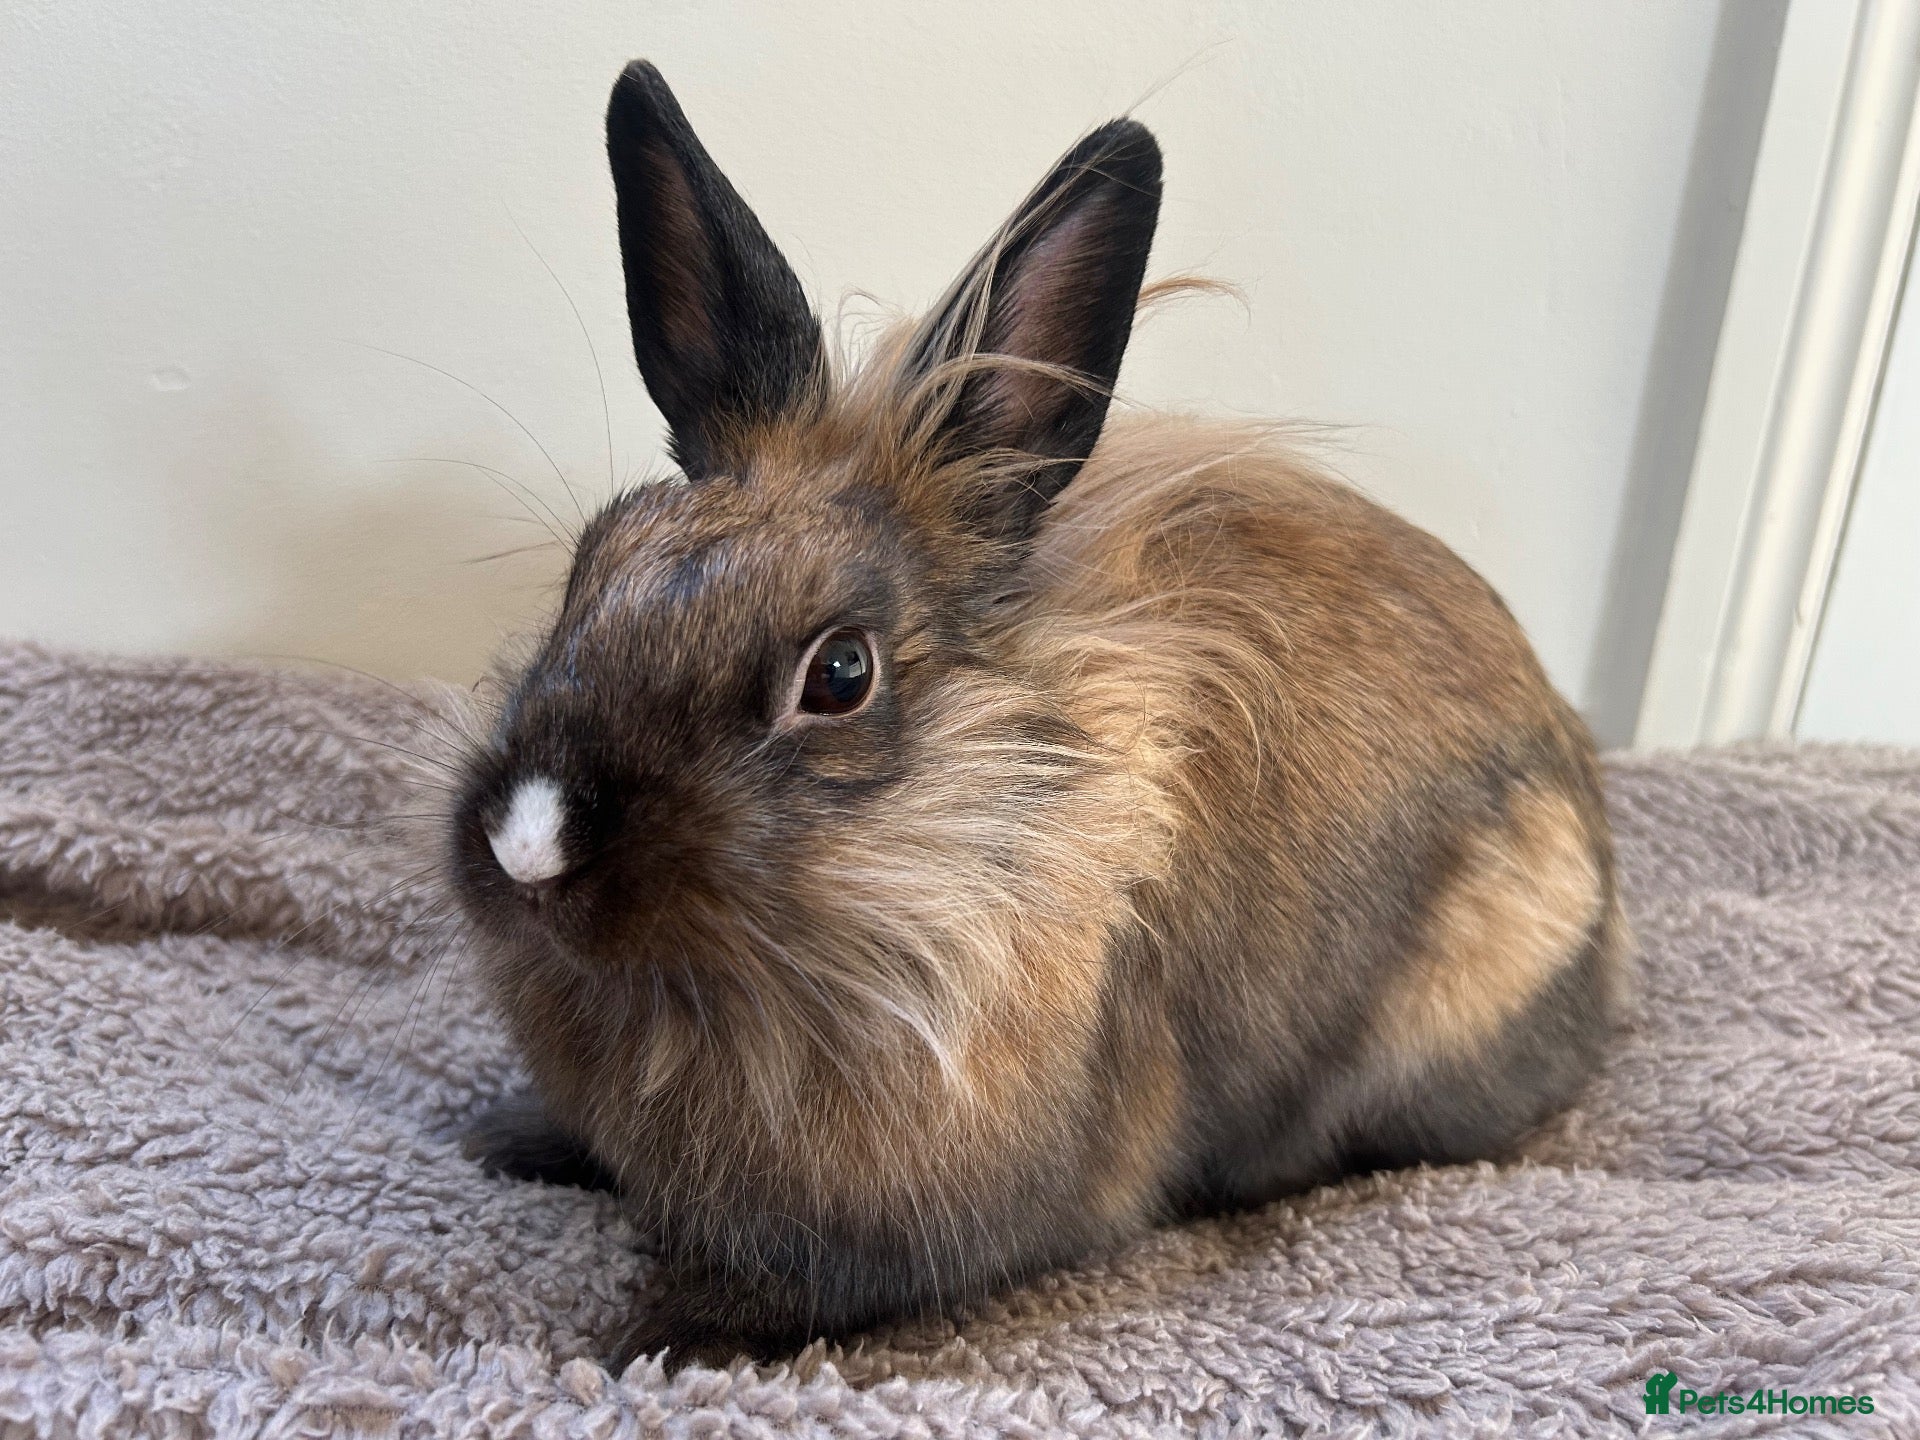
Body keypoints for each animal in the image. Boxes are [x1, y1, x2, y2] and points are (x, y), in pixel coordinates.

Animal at [449, 59, 1629, 1371]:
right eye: (587, 569)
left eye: (841, 674)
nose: (530, 846)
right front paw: (504, 1140)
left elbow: (796, 1296)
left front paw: (638, 1341)